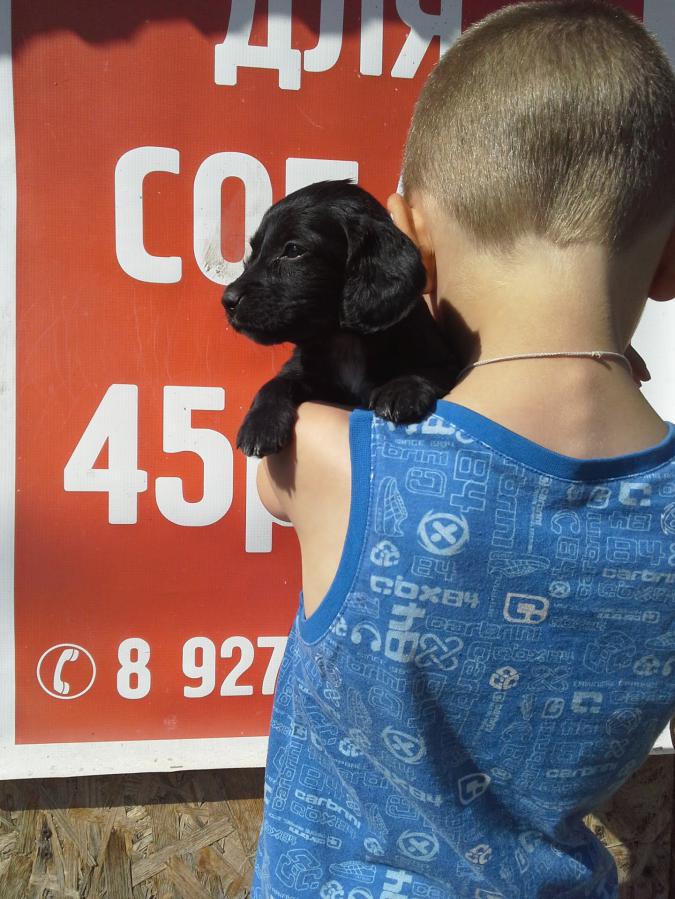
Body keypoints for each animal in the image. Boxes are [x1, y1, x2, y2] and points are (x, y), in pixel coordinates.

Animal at [222, 180, 459, 457]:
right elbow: (276, 382)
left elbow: (429, 371)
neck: (343, 339)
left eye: (293, 250)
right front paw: (260, 425)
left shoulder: (445, 361)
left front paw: (402, 390)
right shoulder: (302, 370)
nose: (227, 301)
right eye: (253, 251)